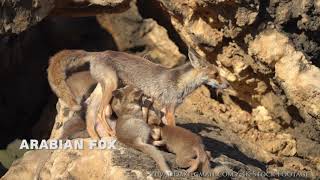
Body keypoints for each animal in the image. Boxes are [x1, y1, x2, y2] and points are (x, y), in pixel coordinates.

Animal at [47, 48, 228, 136]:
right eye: (215, 74)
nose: (226, 85)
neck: (180, 83)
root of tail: (98, 53)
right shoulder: (169, 109)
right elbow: (173, 127)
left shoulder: (160, 107)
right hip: (112, 85)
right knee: (100, 113)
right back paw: (110, 132)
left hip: (103, 89)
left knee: (91, 115)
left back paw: (97, 137)